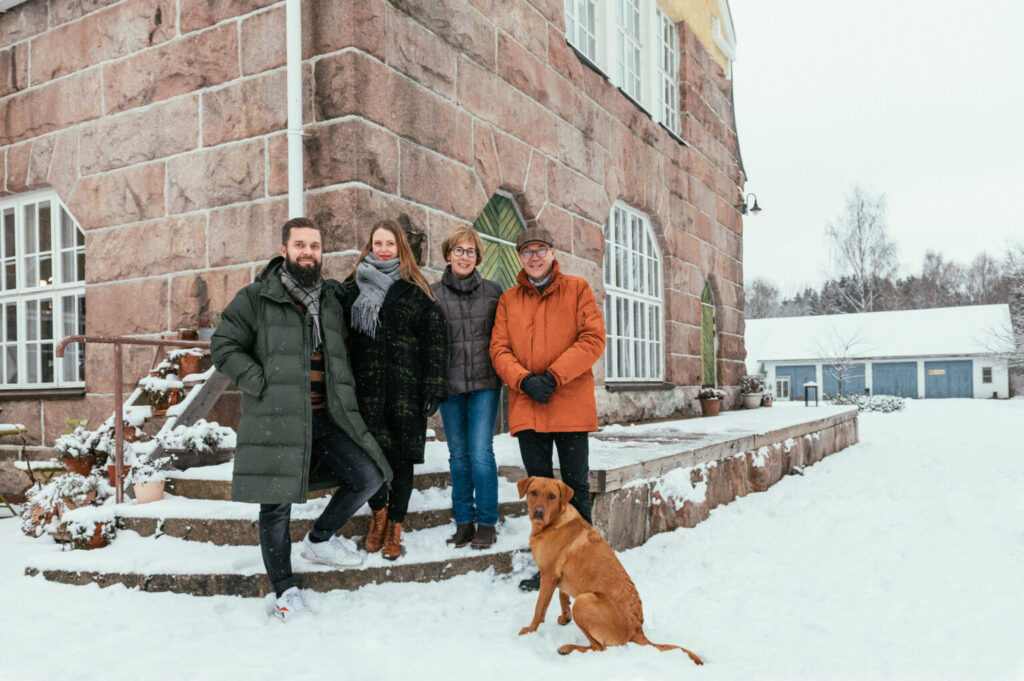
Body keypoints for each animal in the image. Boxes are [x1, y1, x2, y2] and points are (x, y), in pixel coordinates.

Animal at [516, 475, 700, 659]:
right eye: (533, 492)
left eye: (552, 496)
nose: (538, 512)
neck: (555, 521)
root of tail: (637, 629)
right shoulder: (559, 576)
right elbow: (563, 596)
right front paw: (565, 617)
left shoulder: (548, 575)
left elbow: (539, 608)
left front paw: (530, 630)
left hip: (583, 601)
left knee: (598, 648)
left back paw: (568, 648)